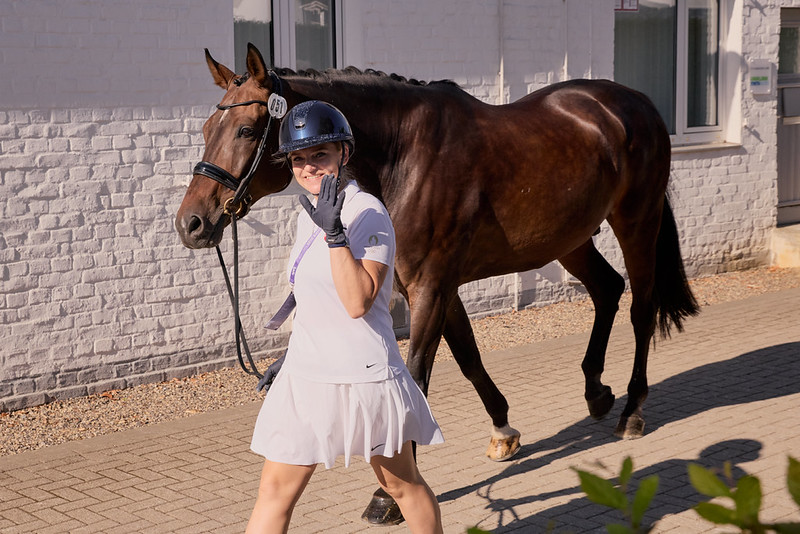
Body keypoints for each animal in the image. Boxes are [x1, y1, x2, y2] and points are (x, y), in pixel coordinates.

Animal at [175, 44, 699, 524]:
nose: (191, 224)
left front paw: (387, 493)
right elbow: (468, 356)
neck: (405, 155)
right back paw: (596, 392)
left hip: (637, 220)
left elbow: (418, 374)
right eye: (205, 131)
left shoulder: (431, 285)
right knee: (607, 289)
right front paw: (504, 430)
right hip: (569, 237)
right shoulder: (430, 287)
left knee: (640, 307)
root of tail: (635, 102)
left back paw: (632, 410)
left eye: (246, 130)